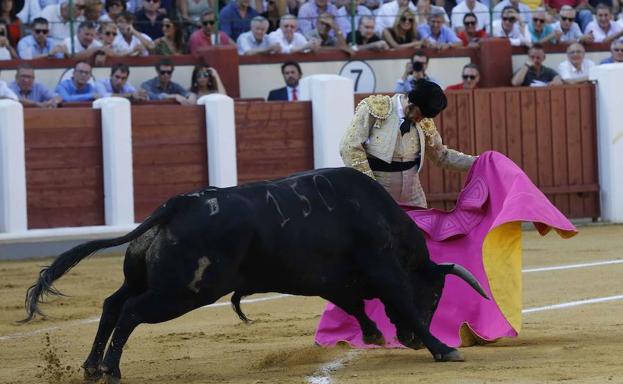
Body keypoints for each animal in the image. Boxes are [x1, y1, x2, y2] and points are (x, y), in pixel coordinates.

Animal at [24, 168, 490, 384]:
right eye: (435, 295)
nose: (410, 342)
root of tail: (175, 206)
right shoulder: (383, 269)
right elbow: (400, 303)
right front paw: (443, 349)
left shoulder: (333, 280)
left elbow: (355, 305)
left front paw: (375, 334)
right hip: (183, 292)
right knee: (131, 313)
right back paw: (112, 369)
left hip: (146, 280)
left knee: (112, 305)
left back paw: (91, 367)